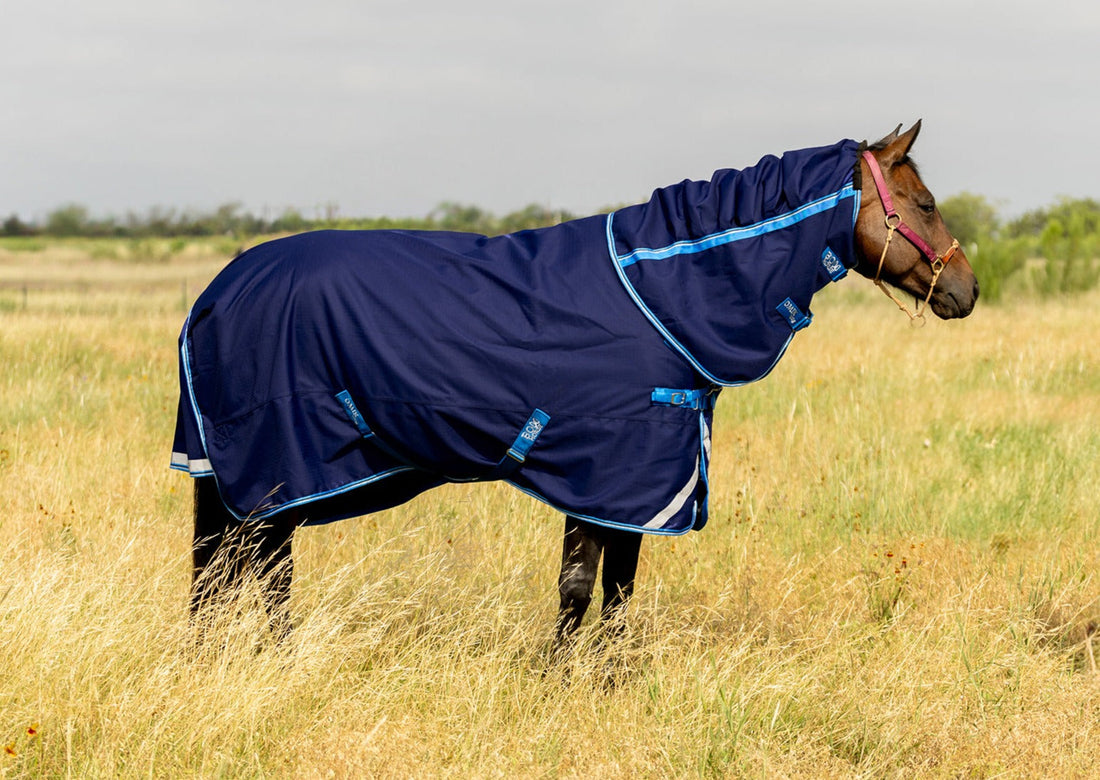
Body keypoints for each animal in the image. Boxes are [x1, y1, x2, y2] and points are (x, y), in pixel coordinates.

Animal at [175, 121, 978, 650]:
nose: (966, 291)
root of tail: (219, 289)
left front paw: (601, 678)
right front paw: (569, 678)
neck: (664, 293)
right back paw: (274, 656)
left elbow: (611, 587)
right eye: (927, 204)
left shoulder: (635, 484)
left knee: (223, 571)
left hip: (227, 472)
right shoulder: (614, 474)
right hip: (278, 467)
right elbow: (585, 585)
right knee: (263, 567)